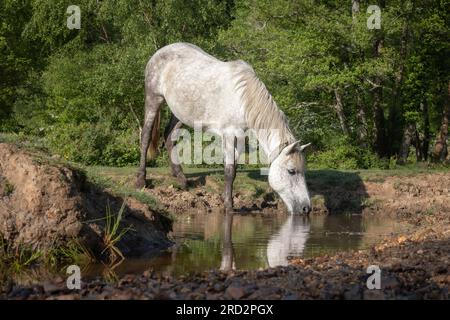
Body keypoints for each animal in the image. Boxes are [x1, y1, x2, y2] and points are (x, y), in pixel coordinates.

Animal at [135, 42, 312, 212]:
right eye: (291, 171)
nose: (306, 208)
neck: (243, 99)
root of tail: (162, 51)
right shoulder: (229, 135)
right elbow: (229, 171)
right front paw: (228, 205)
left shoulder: (240, 138)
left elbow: (233, 170)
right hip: (154, 99)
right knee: (145, 137)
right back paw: (141, 180)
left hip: (179, 112)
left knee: (169, 135)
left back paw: (181, 178)